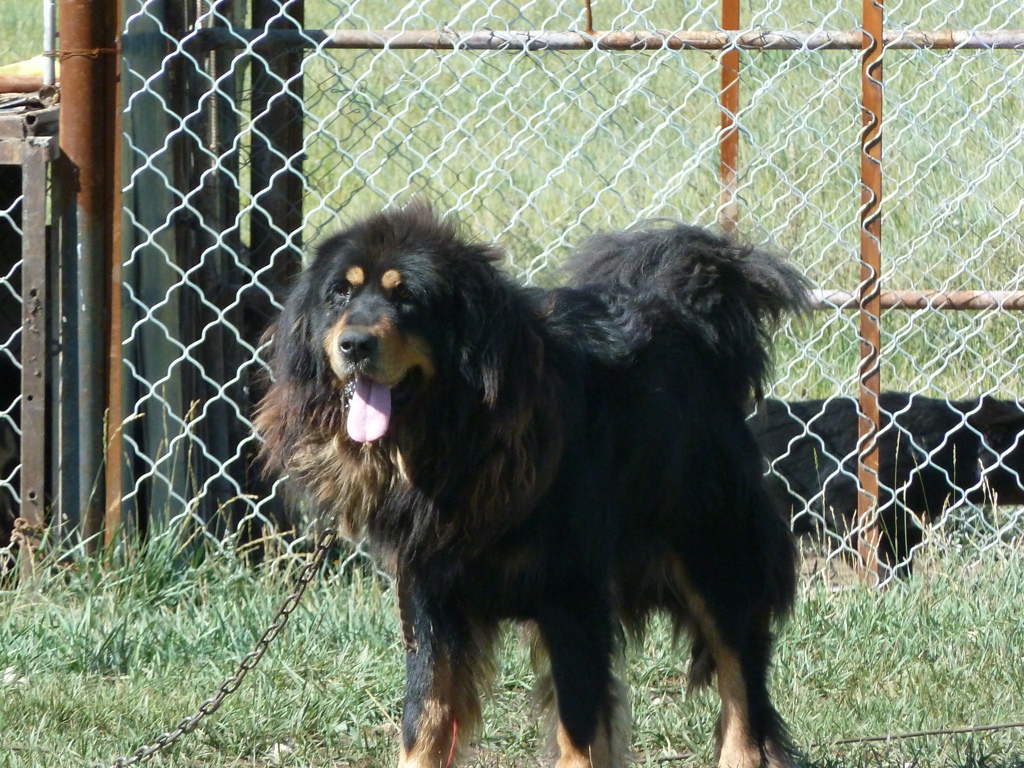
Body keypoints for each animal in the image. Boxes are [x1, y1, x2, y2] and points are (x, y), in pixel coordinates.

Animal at [256, 204, 806, 768]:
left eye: (406, 297)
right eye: (339, 295)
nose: (354, 344)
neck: (453, 436)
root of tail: (692, 313)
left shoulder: (572, 593)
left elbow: (580, 726)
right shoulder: (429, 592)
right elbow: (424, 716)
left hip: (712, 546)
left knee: (741, 677)